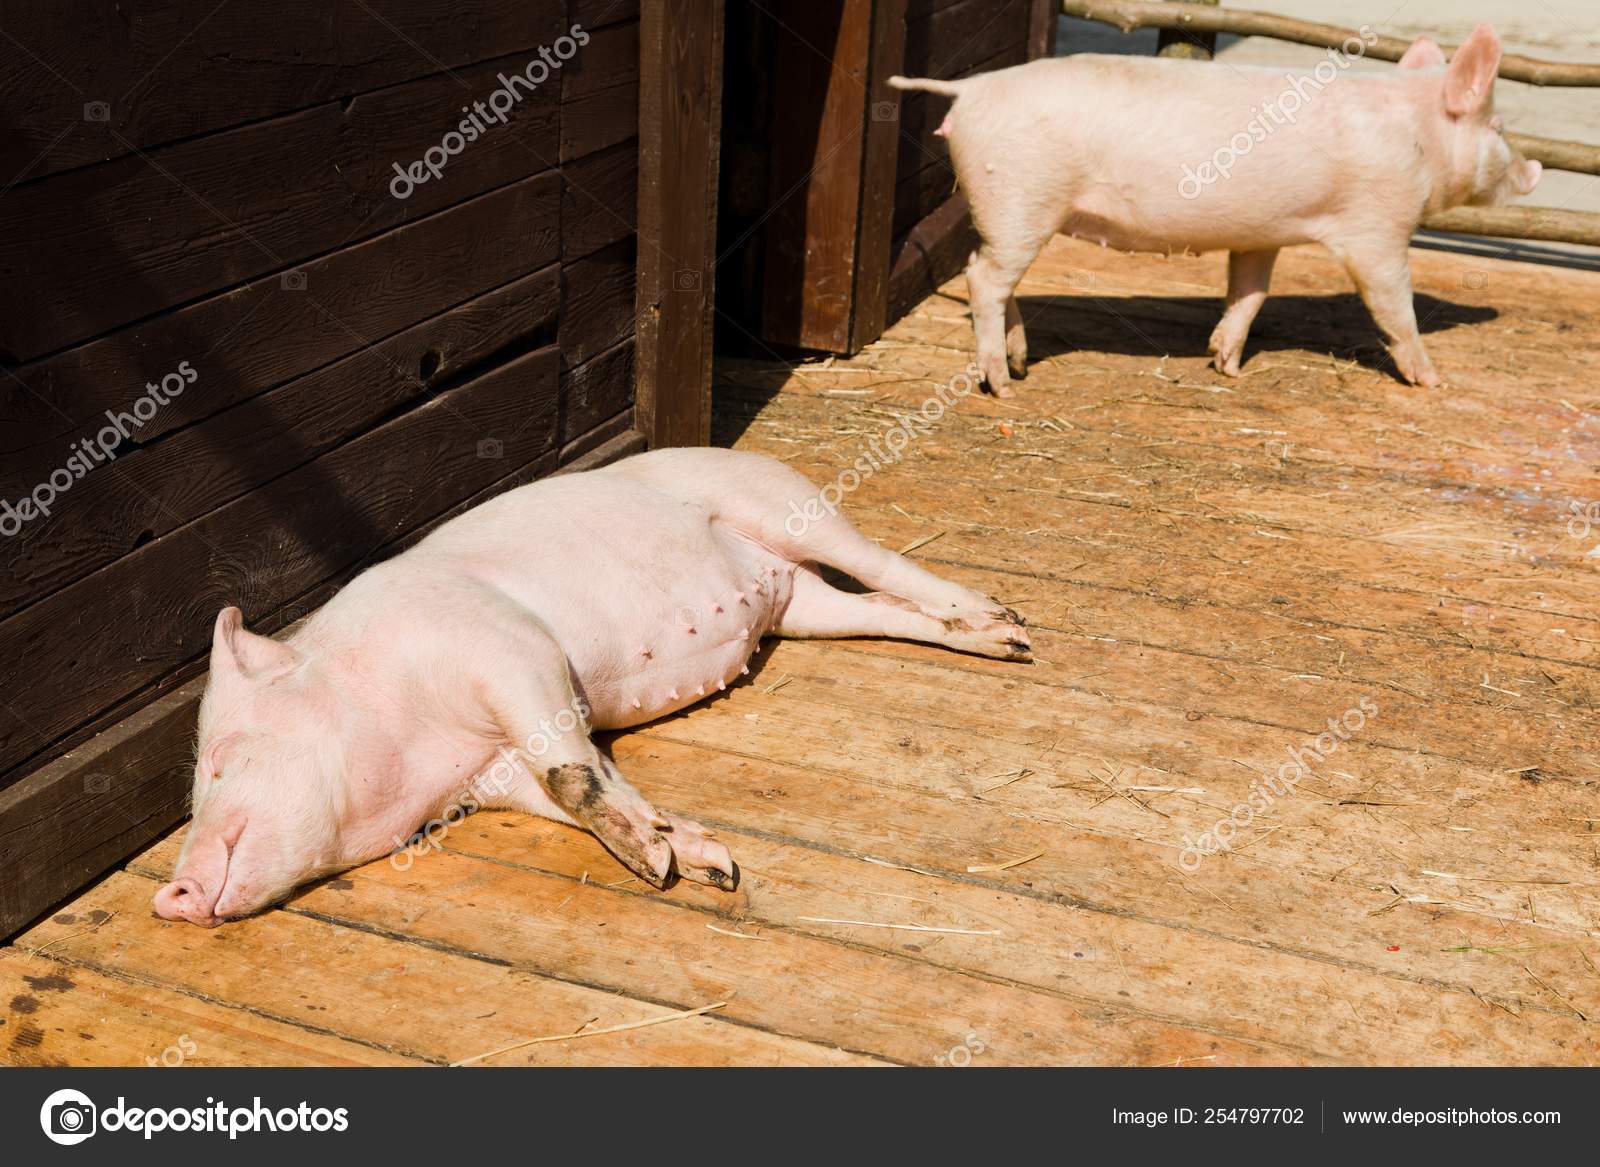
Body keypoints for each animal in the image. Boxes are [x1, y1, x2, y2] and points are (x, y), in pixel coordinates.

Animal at [152, 448, 1030, 926]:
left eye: (222, 758)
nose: (169, 893)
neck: (429, 751)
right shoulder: (497, 771)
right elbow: (580, 785)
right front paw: (696, 860)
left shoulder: (507, 648)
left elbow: (569, 771)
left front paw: (656, 864)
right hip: (803, 608)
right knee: (872, 607)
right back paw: (1000, 639)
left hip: (780, 499)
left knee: (880, 560)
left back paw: (1011, 626)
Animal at [889, 24, 1542, 394]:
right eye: (1499, 128)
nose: (1534, 169)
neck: (1416, 137)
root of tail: (969, 89)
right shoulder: (1378, 227)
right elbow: (1393, 305)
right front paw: (1433, 381)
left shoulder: (1263, 232)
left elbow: (1250, 291)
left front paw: (1225, 365)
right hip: (1021, 196)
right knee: (984, 279)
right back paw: (1002, 386)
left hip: (1008, 209)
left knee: (989, 273)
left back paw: (1021, 363)